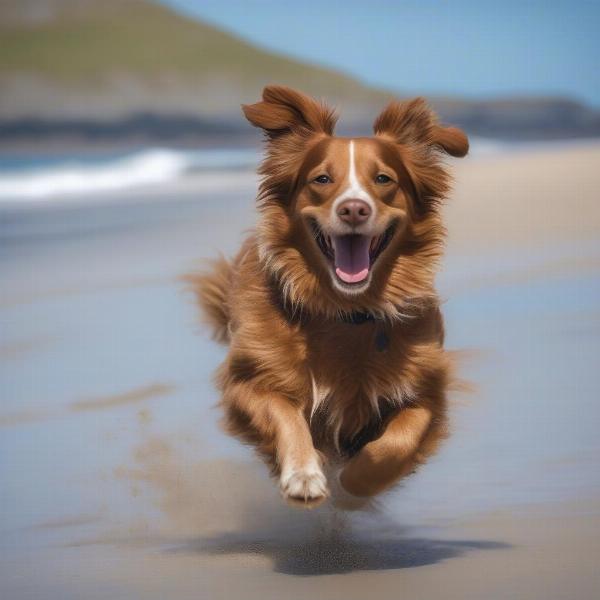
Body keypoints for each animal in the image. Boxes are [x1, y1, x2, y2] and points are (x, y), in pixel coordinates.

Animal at [191, 84, 468, 506]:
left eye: (384, 178)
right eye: (321, 179)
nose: (354, 209)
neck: (346, 311)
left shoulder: (428, 390)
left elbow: (400, 438)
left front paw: (358, 483)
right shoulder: (246, 382)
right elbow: (285, 413)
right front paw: (304, 474)